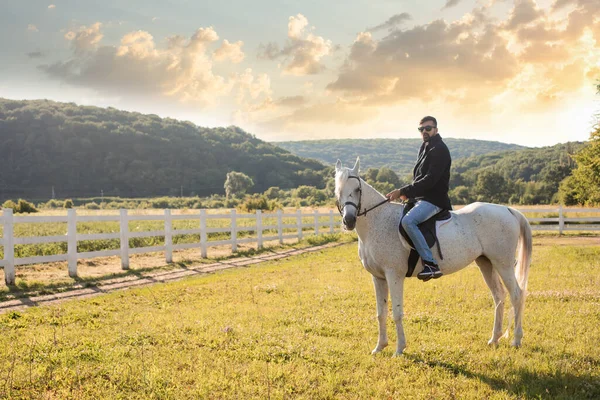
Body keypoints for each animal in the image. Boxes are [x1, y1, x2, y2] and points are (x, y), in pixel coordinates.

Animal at [336, 157, 532, 356]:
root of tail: (508, 210)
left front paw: (399, 349)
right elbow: (380, 313)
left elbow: (397, 313)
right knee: (498, 296)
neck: (377, 220)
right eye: (338, 190)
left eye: (357, 189)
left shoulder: (394, 275)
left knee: (517, 295)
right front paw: (379, 347)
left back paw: (516, 340)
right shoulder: (378, 277)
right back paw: (494, 339)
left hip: (503, 264)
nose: (349, 221)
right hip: (486, 263)